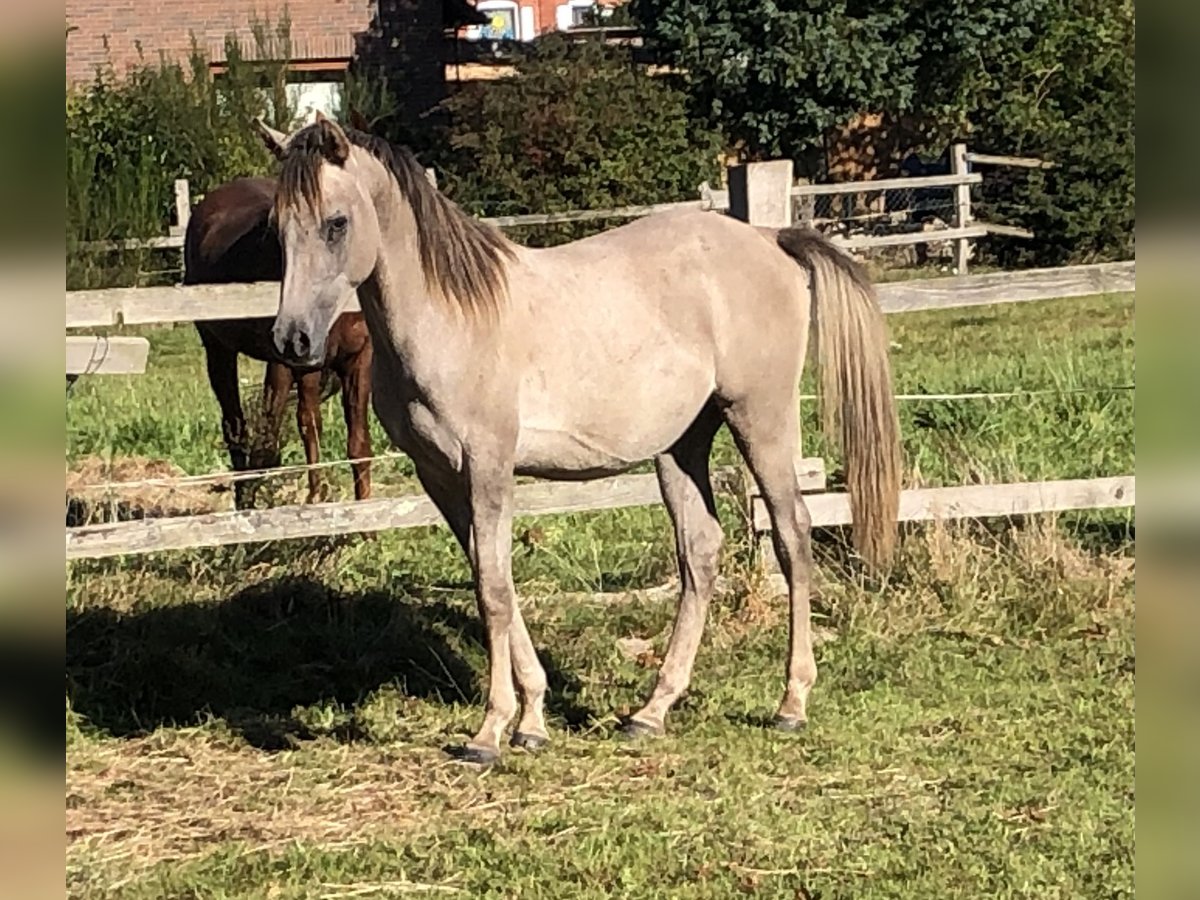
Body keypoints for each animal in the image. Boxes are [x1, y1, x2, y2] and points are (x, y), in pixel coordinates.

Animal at [184, 175, 372, 508]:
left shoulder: (358, 358)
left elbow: (358, 443)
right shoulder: (301, 361)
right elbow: (304, 427)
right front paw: (315, 497)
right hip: (219, 350)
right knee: (237, 428)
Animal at [258, 111, 902, 763]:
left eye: (337, 223)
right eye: (277, 228)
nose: (293, 341)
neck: (450, 316)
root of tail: (771, 240)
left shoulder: (489, 467)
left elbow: (493, 590)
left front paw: (491, 731)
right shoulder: (441, 477)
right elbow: (491, 579)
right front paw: (532, 719)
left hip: (761, 421)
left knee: (793, 535)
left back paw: (791, 703)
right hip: (682, 446)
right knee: (701, 553)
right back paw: (651, 711)